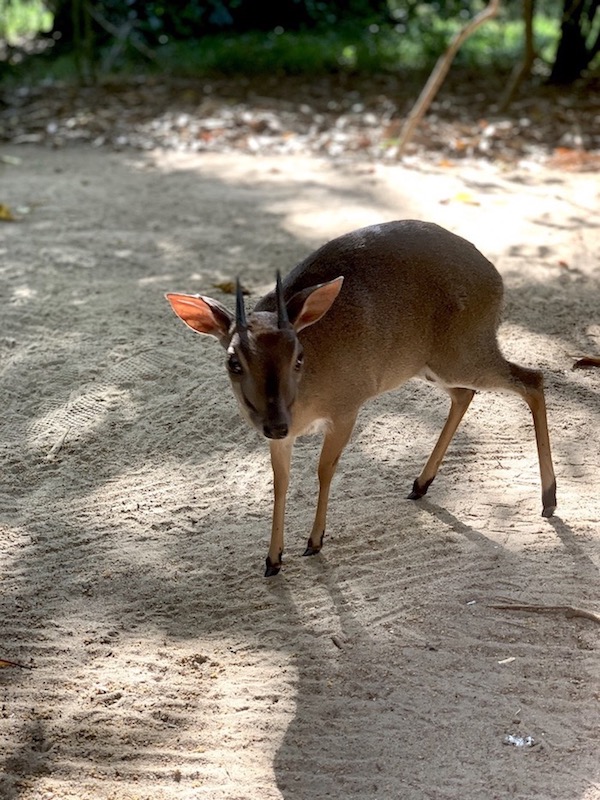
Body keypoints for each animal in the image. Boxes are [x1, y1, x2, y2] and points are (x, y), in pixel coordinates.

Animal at [165, 222, 556, 580]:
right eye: (234, 361)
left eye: (298, 357)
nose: (276, 423)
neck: (303, 403)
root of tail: (495, 277)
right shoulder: (282, 434)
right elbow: (281, 482)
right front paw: (273, 559)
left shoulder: (346, 407)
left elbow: (324, 469)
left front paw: (314, 541)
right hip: (430, 365)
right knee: (466, 393)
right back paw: (420, 484)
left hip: (463, 353)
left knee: (532, 379)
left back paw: (549, 499)